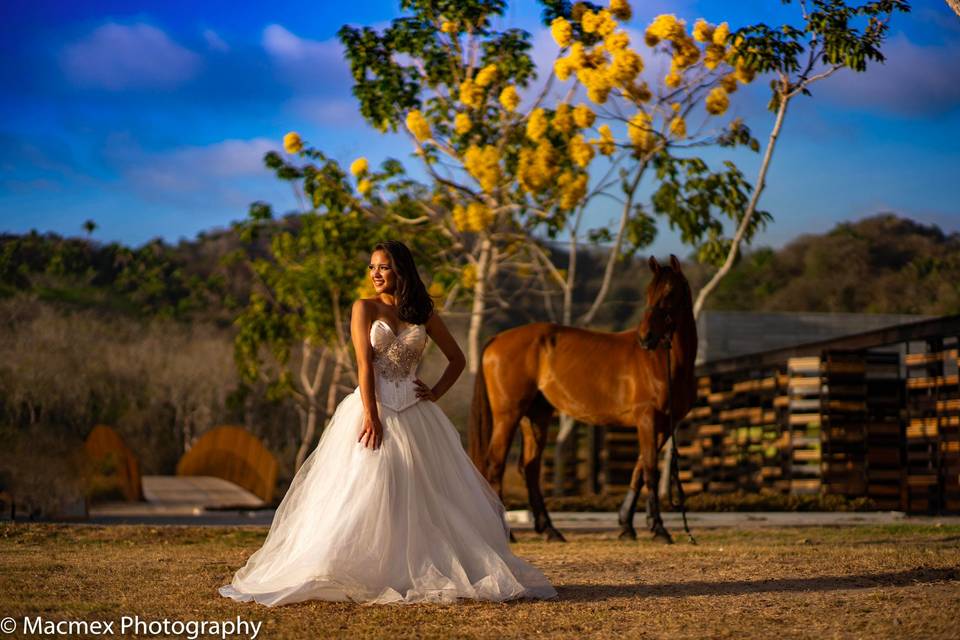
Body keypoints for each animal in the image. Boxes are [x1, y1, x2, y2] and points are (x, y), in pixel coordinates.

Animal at [466, 254, 696, 540]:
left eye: (670, 292)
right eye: (648, 293)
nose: (646, 337)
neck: (663, 363)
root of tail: (497, 338)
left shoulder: (664, 425)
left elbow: (640, 470)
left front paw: (627, 525)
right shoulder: (647, 419)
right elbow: (651, 470)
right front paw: (659, 529)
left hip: (535, 416)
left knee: (530, 468)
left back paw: (550, 529)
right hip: (508, 416)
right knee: (495, 464)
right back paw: (507, 533)